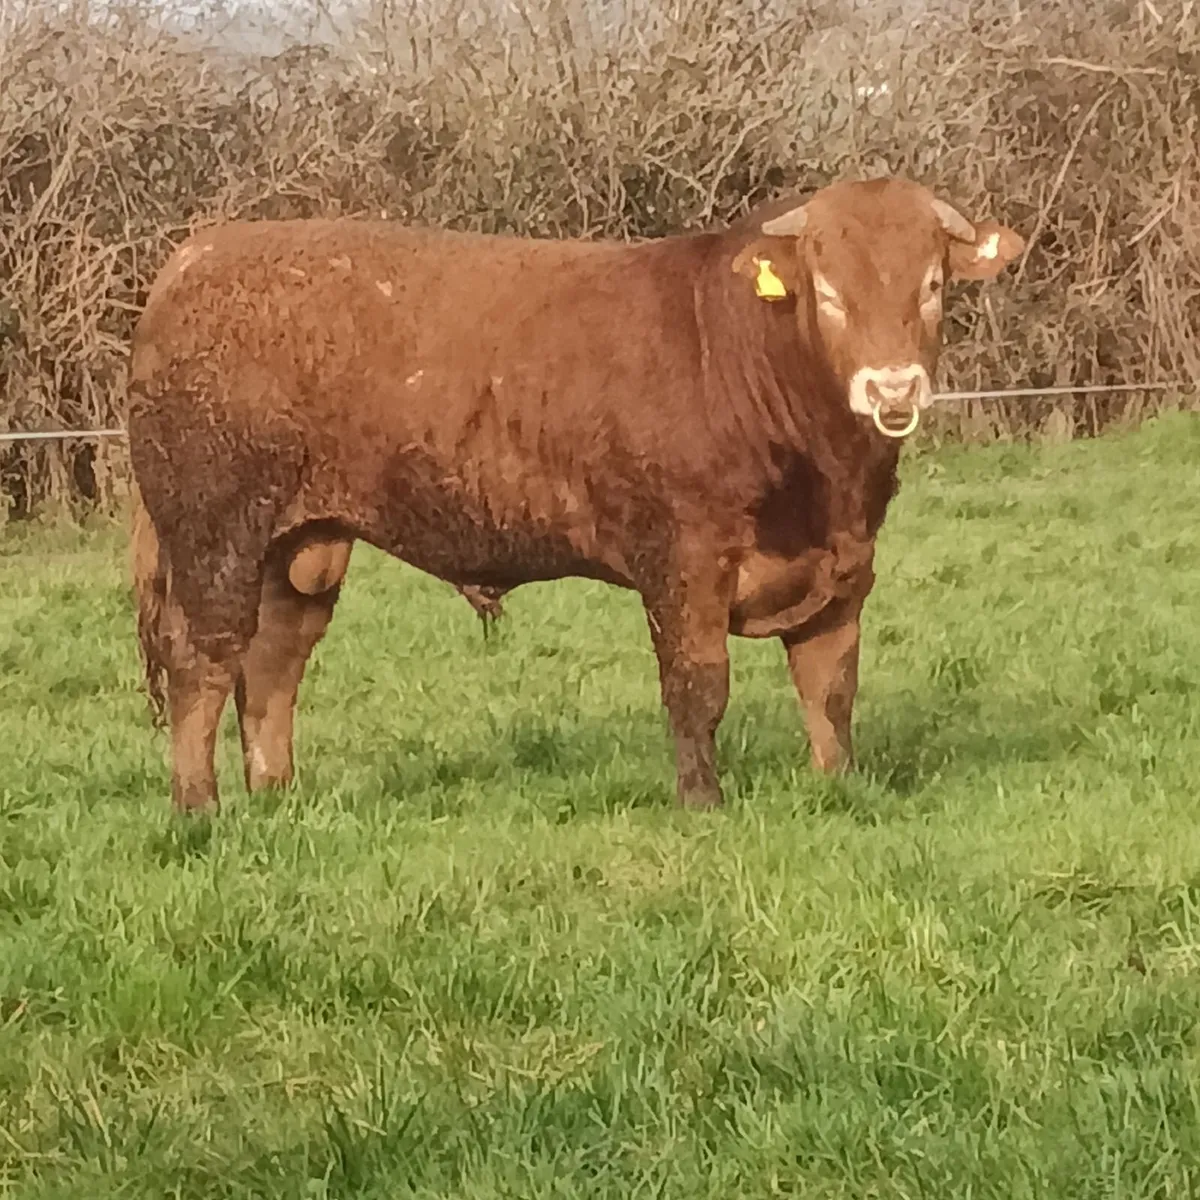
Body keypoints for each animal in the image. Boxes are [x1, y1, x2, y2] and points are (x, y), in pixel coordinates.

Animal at [126, 175, 1024, 814]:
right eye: (829, 292)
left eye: (933, 285)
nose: (893, 387)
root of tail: (194, 259)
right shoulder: (685, 562)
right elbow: (697, 687)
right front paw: (703, 804)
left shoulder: (844, 570)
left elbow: (830, 690)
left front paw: (837, 786)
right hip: (214, 533)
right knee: (201, 660)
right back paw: (199, 808)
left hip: (302, 548)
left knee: (273, 661)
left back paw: (277, 796)